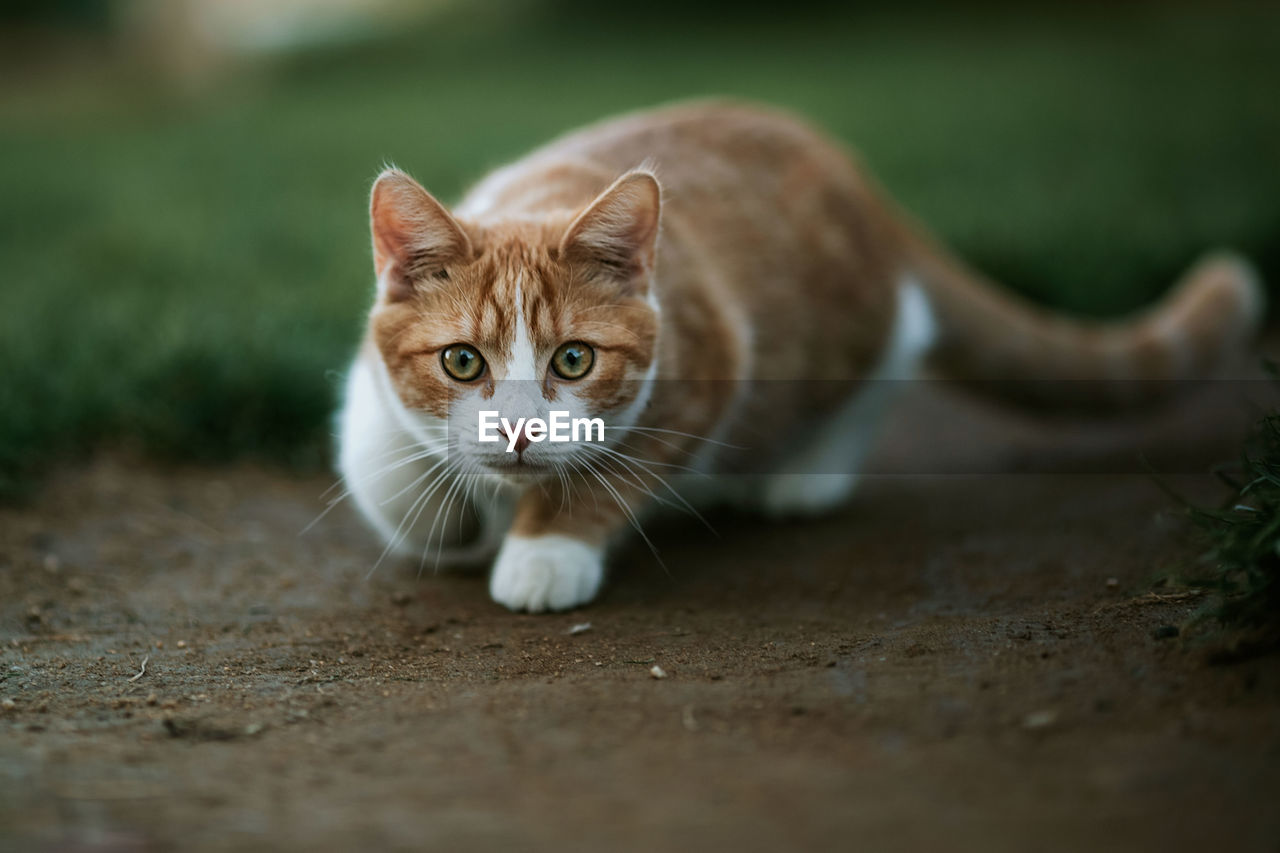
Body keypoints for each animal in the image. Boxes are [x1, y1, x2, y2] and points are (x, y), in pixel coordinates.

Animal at [335, 99, 1264, 607]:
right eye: (462, 362)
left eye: (573, 361)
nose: (522, 433)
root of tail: (852, 172)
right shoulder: (373, 400)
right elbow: (395, 487)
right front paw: (454, 507)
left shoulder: (712, 362)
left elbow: (614, 471)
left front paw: (545, 548)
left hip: (852, 322)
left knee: (899, 342)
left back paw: (803, 474)